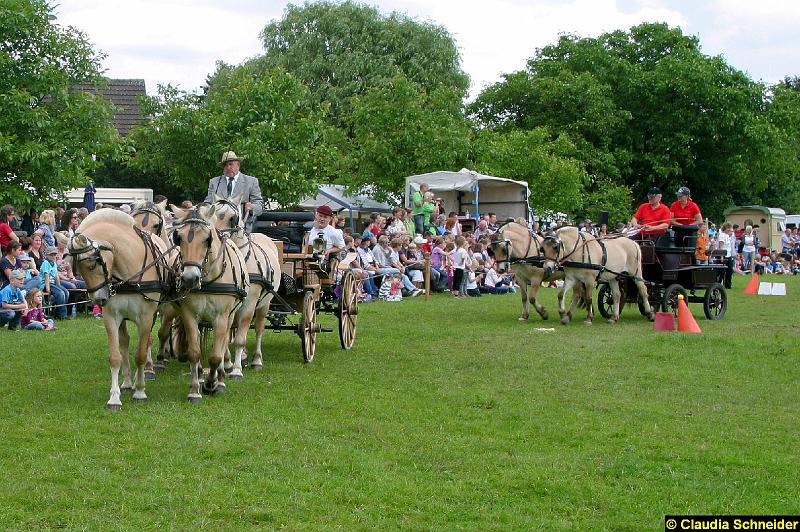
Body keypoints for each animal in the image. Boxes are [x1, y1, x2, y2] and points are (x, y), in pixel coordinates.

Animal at [60, 210, 175, 410]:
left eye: (92, 264)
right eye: (77, 271)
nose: (99, 299)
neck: (128, 274)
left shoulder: (146, 317)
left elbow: (140, 354)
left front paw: (140, 391)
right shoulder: (112, 317)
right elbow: (115, 356)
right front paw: (114, 397)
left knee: (150, 340)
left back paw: (146, 372)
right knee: (125, 343)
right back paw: (128, 382)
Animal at [171, 205, 250, 404]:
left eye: (207, 239)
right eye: (179, 238)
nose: (189, 278)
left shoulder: (221, 317)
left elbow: (215, 356)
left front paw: (212, 384)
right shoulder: (189, 315)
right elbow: (194, 352)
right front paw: (195, 390)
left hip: (230, 316)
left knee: (223, 347)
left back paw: (220, 378)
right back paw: (200, 375)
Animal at [212, 194, 282, 374]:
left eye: (232, 218)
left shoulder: (250, 302)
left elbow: (240, 338)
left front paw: (236, 370)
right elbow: (226, 335)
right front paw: (227, 363)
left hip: (264, 303)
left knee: (258, 329)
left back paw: (256, 360)